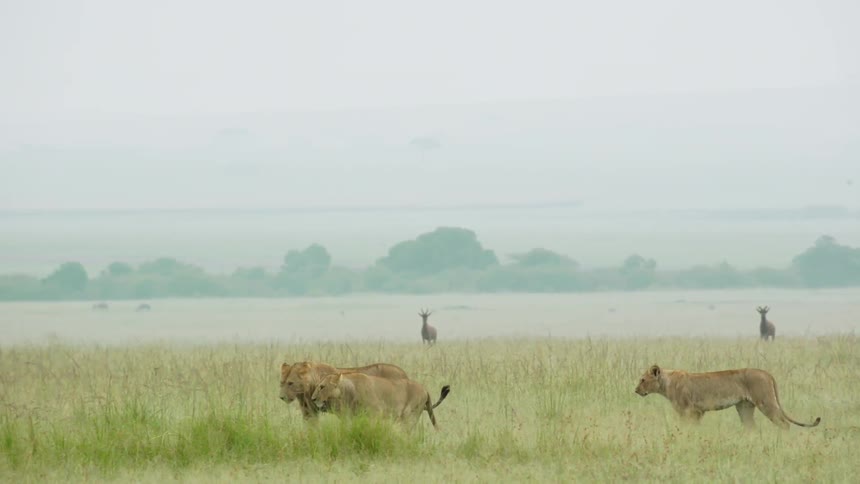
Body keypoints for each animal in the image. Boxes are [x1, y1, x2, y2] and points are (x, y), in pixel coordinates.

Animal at [279, 361, 408, 419]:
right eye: (281, 383)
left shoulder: (343, 411)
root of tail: (404, 373)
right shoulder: (309, 412)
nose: (281, 397)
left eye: (290, 383)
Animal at [310, 372, 451, 429]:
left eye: (322, 387)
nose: (312, 398)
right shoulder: (354, 416)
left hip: (409, 415)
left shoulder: (376, 412)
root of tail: (425, 389)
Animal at [635, 364, 820, 429]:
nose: (635, 390)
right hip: (744, 407)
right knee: (751, 427)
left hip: (766, 402)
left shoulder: (689, 411)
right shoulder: (698, 412)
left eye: (642, 379)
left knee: (783, 423)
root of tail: (766, 372)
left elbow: (686, 427)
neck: (666, 383)